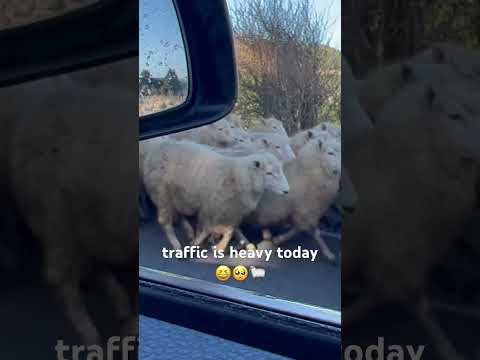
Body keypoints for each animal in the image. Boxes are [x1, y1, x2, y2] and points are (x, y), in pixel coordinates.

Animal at [9, 79, 138, 346]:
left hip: (88, 220)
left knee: (92, 262)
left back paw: (120, 306)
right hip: (55, 220)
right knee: (60, 278)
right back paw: (92, 336)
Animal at [142, 139, 288, 252]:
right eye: (269, 173)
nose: (287, 191)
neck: (239, 176)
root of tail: (157, 149)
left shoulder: (228, 211)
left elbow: (228, 230)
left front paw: (218, 246)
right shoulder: (212, 207)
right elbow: (207, 228)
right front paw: (200, 244)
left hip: (177, 196)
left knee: (178, 215)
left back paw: (189, 232)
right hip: (162, 195)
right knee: (165, 222)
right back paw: (176, 245)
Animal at [342, 81, 480, 360]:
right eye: (454, 115)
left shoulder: (403, 252)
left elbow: (395, 296)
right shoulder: (397, 248)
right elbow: (417, 303)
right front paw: (448, 350)